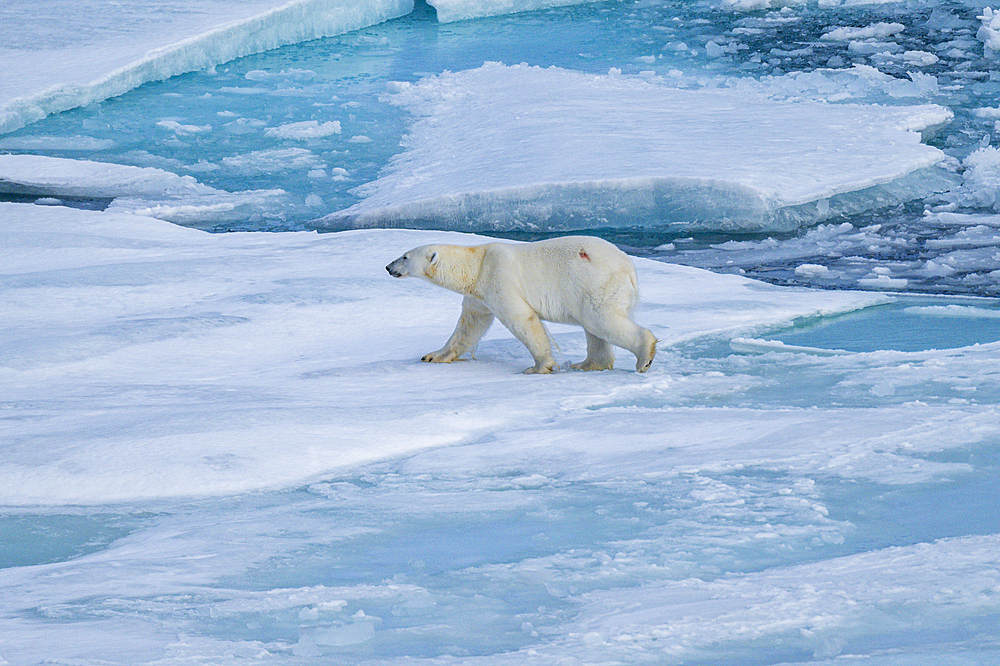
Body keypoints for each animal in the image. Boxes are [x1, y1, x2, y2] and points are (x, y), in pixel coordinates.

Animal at [382, 236, 656, 374]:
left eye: (405, 256)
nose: (387, 266)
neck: (477, 263)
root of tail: (629, 267)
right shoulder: (478, 294)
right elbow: (470, 325)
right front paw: (433, 356)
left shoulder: (499, 276)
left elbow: (521, 319)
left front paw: (538, 367)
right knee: (594, 328)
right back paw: (587, 364)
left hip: (594, 281)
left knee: (600, 319)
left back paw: (644, 356)